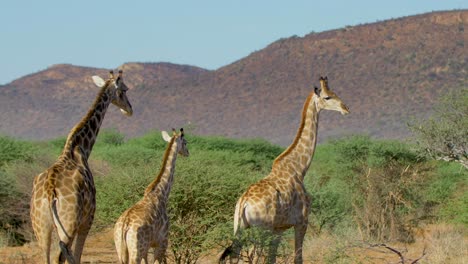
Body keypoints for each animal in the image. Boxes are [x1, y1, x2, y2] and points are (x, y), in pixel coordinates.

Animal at [29, 70, 133, 264]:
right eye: (124, 89)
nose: (129, 109)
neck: (80, 147)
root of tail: (50, 192)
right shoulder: (88, 219)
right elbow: (76, 256)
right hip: (68, 225)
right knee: (60, 255)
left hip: (40, 226)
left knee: (47, 256)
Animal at [114, 128, 189, 264]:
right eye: (185, 142)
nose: (187, 152)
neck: (162, 192)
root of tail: (124, 226)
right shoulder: (162, 242)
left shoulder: (148, 247)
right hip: (136, 251)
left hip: (121, 250)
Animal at [221, 76, 350, 262]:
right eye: (327, 97)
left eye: (336, 93)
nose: (346, 108)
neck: (299, 168)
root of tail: (244, 202)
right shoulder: (302, 222)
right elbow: (298, 258)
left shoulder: (279, 228)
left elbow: (272, 259)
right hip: (261, 229)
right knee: (253, 256)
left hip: (239, 228)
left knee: (235, 257)